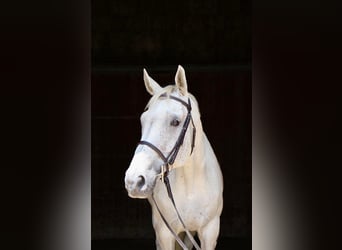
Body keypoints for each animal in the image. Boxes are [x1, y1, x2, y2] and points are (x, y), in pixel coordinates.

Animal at [124, 65, 223, 249]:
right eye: (143, 120)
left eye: (175, 122)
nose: (133, 180)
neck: (190, 183)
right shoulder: (165, 232)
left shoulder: (210, 231)